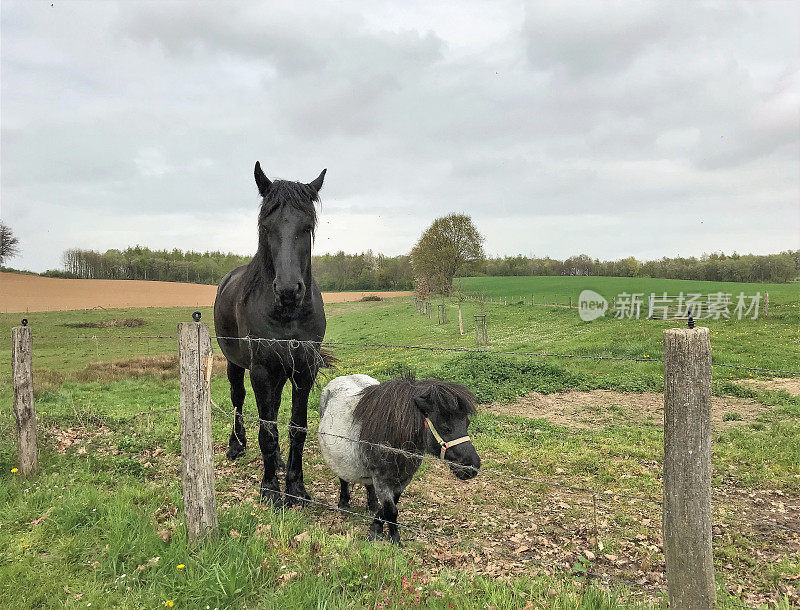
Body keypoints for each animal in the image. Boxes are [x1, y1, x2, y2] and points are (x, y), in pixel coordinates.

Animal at [212, 160, 328, 504]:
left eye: (307, 227)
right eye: (266, 226)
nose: (288, 290)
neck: (288, 315)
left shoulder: (304, 369)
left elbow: (296, 427)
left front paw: (296, 486)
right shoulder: (261, 370)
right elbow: (265, 428)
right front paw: (270, 489)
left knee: (274, 411)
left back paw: (276, 460)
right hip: (237, 364)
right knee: (238, 399)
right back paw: (236, 446)